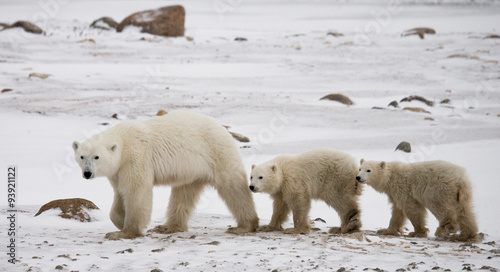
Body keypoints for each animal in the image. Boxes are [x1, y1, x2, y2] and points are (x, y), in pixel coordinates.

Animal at [73, 111, 260, 239]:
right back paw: (168, 226)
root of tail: (222, 128)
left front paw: (125, 232)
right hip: (192, 170)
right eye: (82, 156)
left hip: (217, 152)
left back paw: (244, 226)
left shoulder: (136, 157)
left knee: (233, 186)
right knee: (183, 194)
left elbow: (136, 191)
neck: (123, 142)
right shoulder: (118, 170)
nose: (87, 173)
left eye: (96, 157)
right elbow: (120, 193)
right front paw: (119, 222)